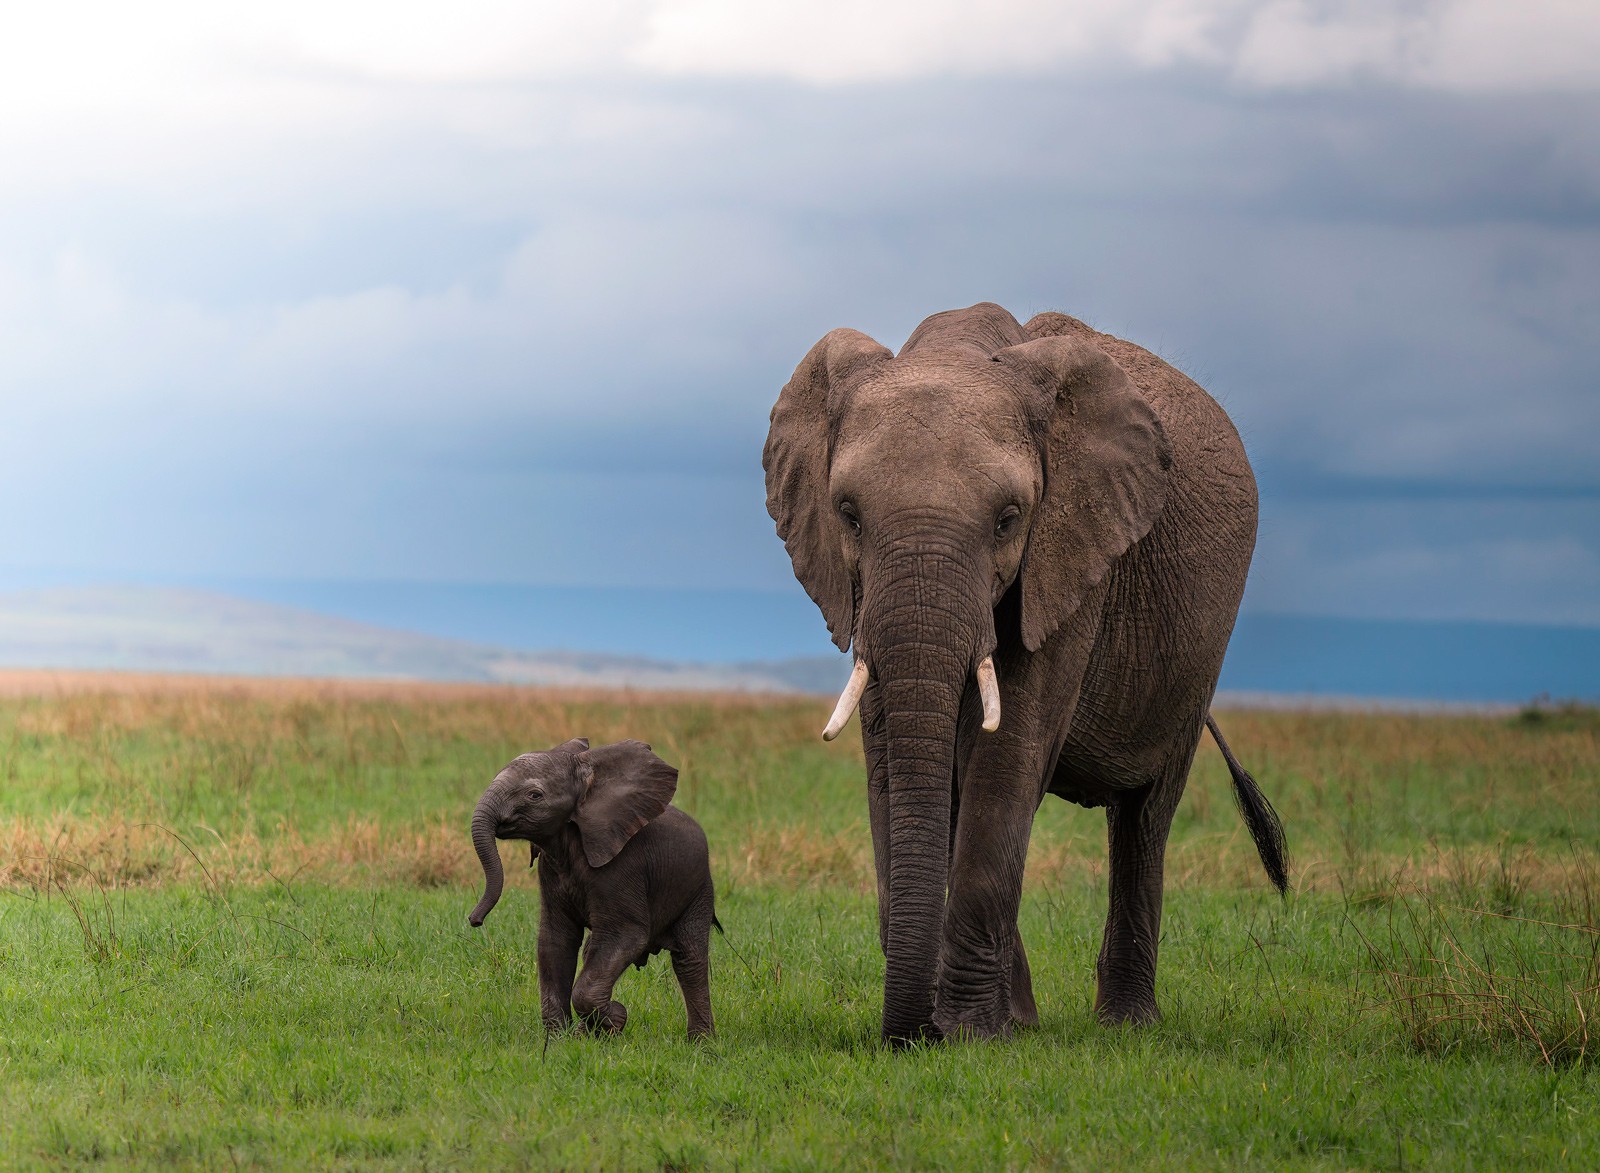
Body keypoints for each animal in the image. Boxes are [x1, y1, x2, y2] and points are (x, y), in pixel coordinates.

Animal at [468, 738, 717, 1039]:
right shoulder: (549, 868)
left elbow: (627, 935)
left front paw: (617, 1018)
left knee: (688, 959)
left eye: (534, 795)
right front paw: (559, 1039)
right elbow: (556, 940)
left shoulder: (624, 867)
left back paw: (701, 1044)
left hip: (698, 888)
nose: (475, 920)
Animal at [763, 302, 1288, 1044]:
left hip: (1201, 648)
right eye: (849, 515)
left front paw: (973, 1034)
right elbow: (893, 760)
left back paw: (1127, 1026)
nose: (909, 1036)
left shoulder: (1073, 553)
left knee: (1146, 815)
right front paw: (979, 1027)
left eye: (1009, 520)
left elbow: (1006, 757)